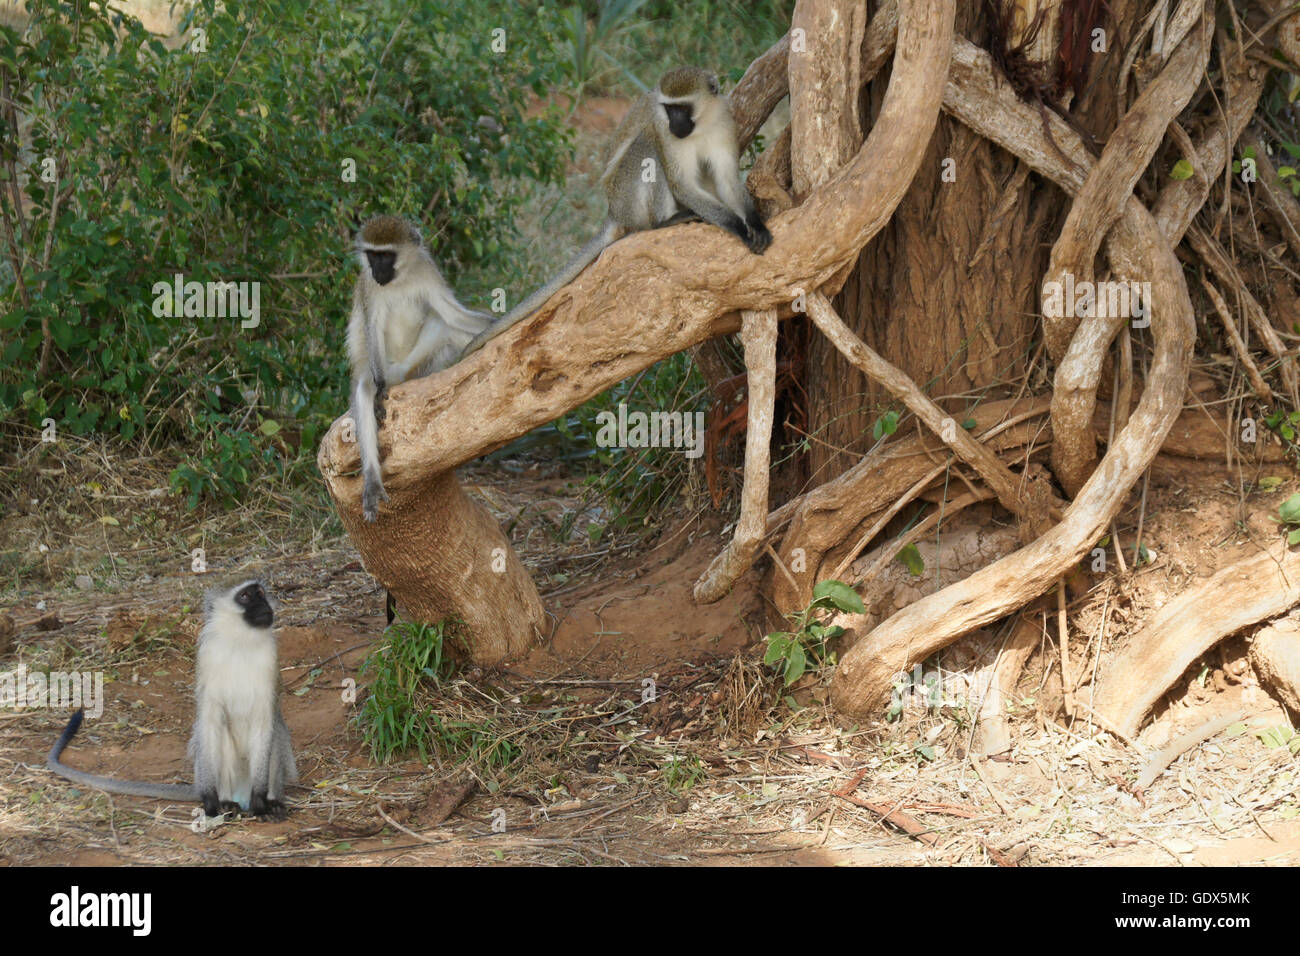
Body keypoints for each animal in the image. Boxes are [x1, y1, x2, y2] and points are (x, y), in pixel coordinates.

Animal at [47, 579, 297, 821]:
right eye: (245, 596)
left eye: (261, 594)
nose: (265, 606)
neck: (240, 643)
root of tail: (240, 793)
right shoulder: (208, 658)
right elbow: (209, 721)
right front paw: (210, 800)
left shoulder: (270, 660)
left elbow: (265, 721)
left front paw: (260, 801)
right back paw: (227, 802)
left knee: (276, 732)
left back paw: (271, 803)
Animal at [348, 215, 493, 521]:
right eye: (372, 255)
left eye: (386, 256)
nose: (377, 271)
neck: (400, 278)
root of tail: (402, 375)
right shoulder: (369, 288)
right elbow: (372, 329)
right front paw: (379, 390)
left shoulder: (428, 271)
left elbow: (451, 314)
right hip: (389, 369)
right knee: (365, 386)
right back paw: (372, 480)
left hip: (414, 365)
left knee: (445, 325)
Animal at [461, 66, 771, 358]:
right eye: (669, 110)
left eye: (682, 109)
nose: (674, 124)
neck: (702, 125)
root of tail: (613, 211)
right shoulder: (664, 133)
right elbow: (680, 182)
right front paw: (739, 228)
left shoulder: (724, 124)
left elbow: (727, 180)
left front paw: (755, 224)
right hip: (627, 198)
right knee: (648, 146)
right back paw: (663, 222)